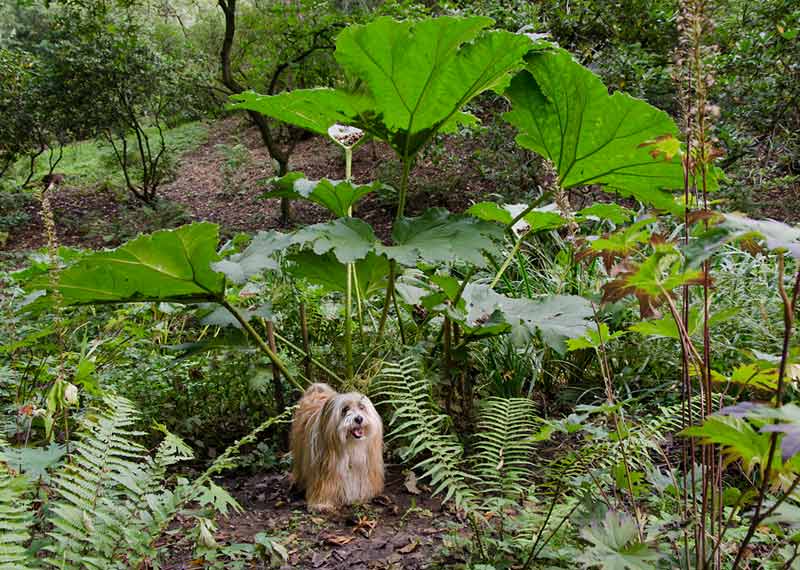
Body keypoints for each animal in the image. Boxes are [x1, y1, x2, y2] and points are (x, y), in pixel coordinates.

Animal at [290, 383, 384, 512]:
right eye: (345, 409)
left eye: (361, 407)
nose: (359, 419)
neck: (351, 445)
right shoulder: (325, 469)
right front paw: (322, 504)